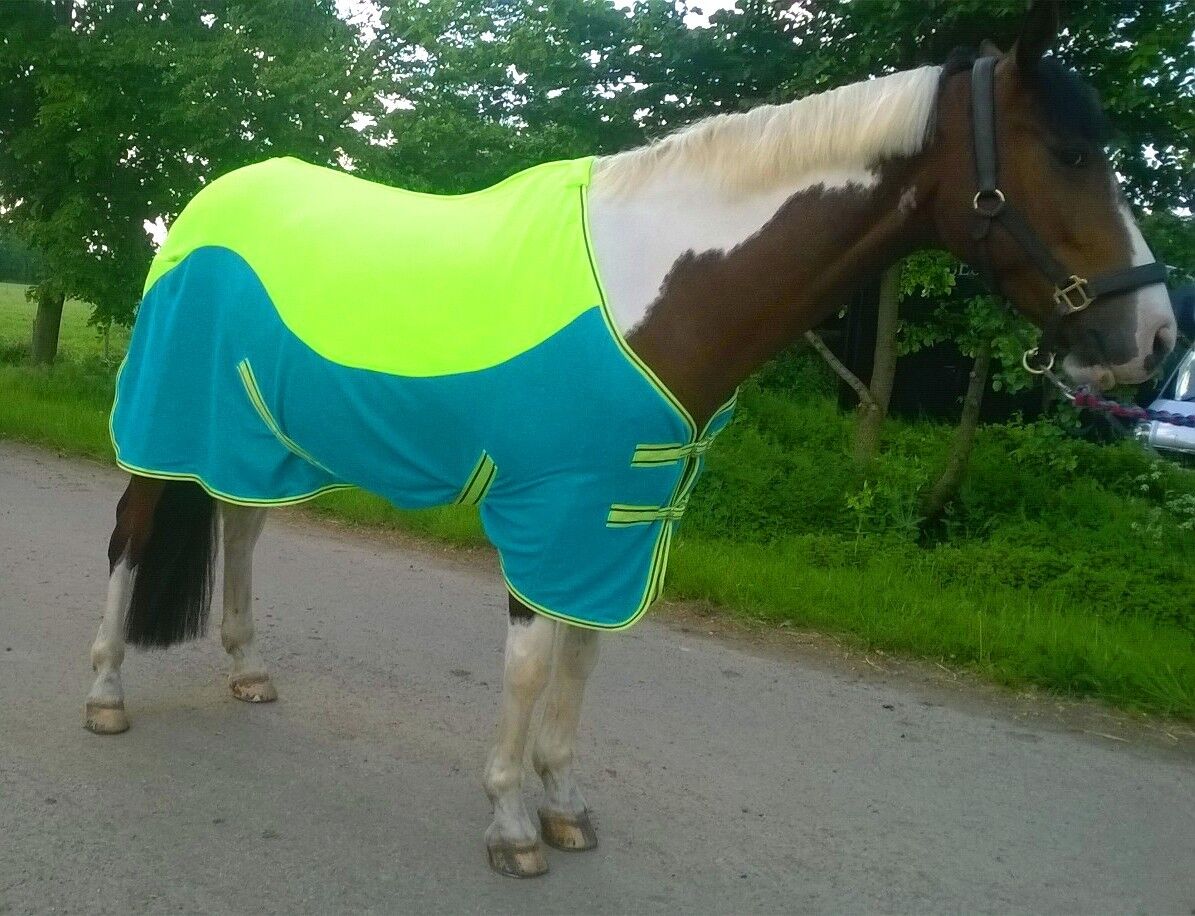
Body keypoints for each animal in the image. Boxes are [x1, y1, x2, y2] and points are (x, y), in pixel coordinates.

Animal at [84, 2, 1176, 878]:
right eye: (1069, 154)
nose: (1154, 340)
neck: (659, 289)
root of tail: (201, 208)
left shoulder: (625, 512)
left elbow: (584, 658)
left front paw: (564, 807)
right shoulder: (554, 505)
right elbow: (533, 665)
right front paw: (512, 824)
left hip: (258, 436)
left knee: (241, 528)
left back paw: (247, 670)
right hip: (166, 425)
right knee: (132, 536)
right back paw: (104, 692)